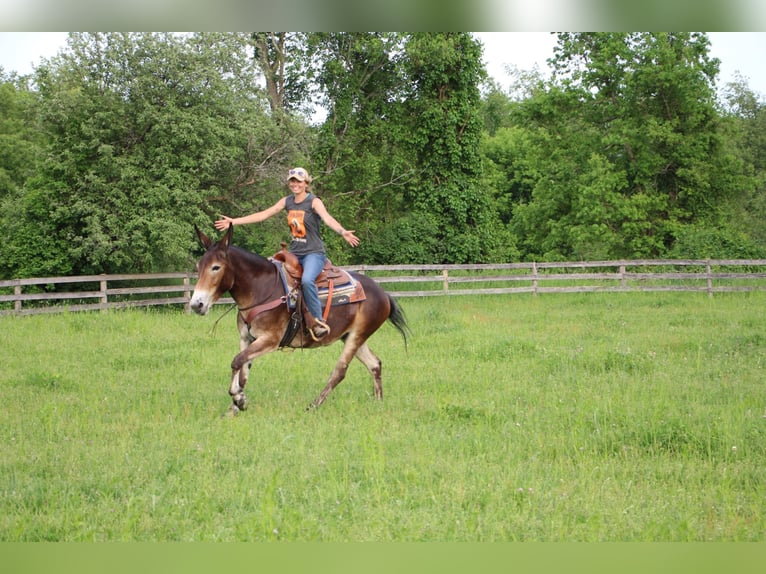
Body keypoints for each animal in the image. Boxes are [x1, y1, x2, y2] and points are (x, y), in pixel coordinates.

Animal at [190, 224, 412, 414]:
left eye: (216, 267)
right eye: (198, 266)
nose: (196, 304)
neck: (261, 289)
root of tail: (384, 294)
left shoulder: (270, 340)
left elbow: (236, 362)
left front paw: (238, 399)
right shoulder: (247, 338)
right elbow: (243, 370)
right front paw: (236, 405)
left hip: (357, 336)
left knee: (339, 372)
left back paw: (313, 406)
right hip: (352, 336)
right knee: (374, 364)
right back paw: (378, 403)